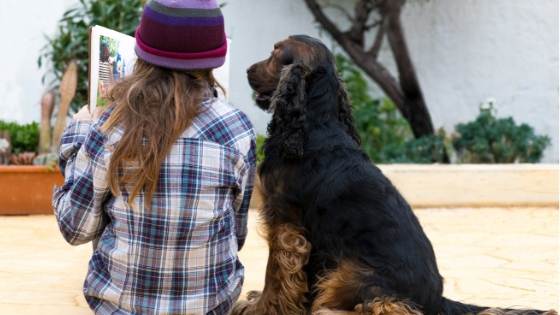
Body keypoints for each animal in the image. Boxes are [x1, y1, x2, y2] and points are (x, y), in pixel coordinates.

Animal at [232, 35, 556, 315]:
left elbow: (276, 275)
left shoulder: (285, 224)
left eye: (275, 53)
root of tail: (438, 300)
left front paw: (261, 308)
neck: (314, 124)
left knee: (383, 307)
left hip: (352, 273)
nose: (246, 70)